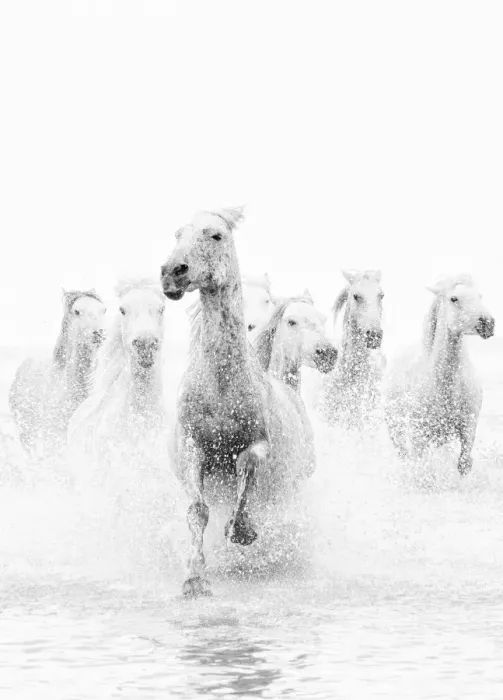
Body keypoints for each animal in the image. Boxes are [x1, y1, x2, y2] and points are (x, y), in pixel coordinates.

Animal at [160, 206, 337, 598]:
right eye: (178, 234)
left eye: (215, 235)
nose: (171, 272)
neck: (221, 387)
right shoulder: (194, 448)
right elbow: (198, 511)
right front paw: (195, 579)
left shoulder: (257, 445)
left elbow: (246, 469)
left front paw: (242, 531)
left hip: (292, 486)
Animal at [384, 275, 495, 478]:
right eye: (453, 298)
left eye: (480, 296)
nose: (488, 323)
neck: (446, 385)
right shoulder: (419, 435)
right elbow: (422, 468)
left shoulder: (469, 426)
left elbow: (464, 463)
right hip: (397, 431)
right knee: (405, 456)